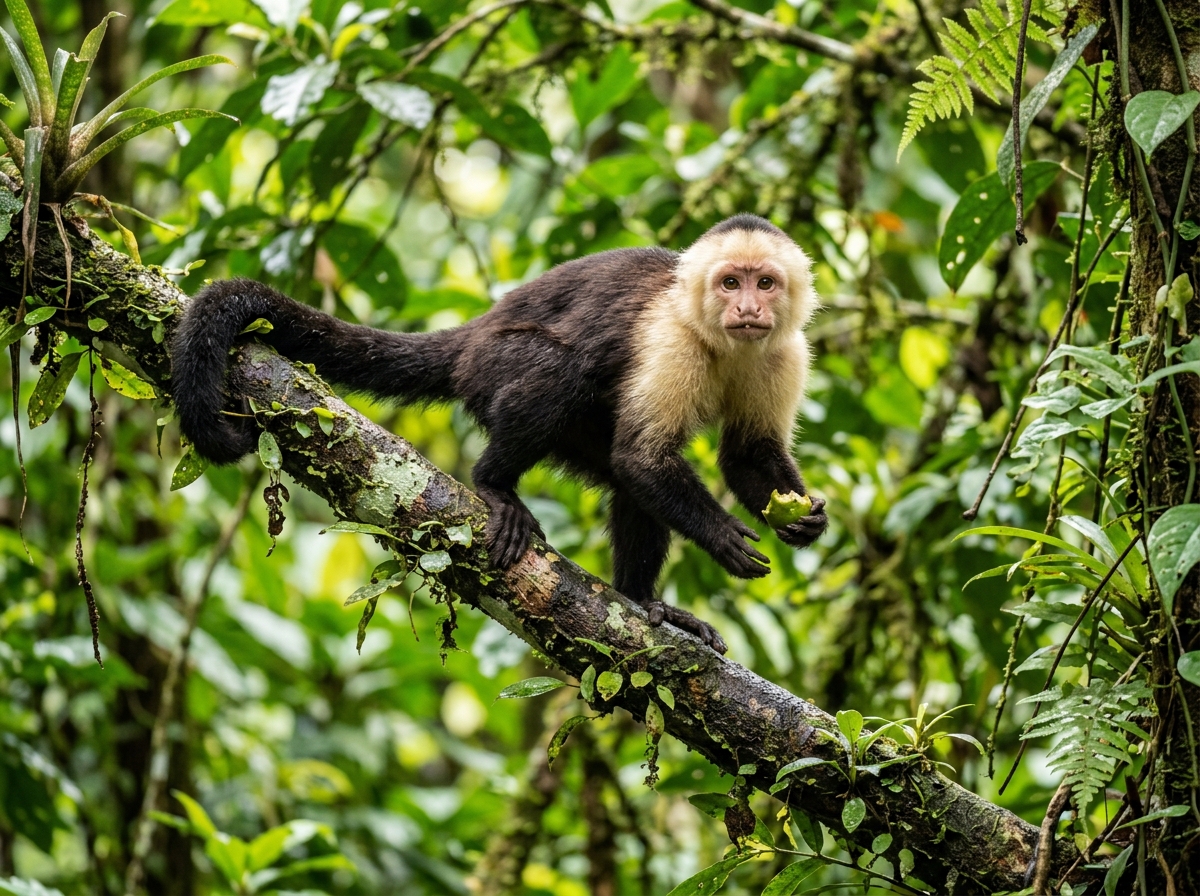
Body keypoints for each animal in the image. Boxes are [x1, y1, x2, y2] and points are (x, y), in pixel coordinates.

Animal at [170, 214, 827, 654]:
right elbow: (643, 455)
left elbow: (746, 455)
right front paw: (723, 537)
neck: (722, 340)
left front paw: (802, 519)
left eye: (765, 283)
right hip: (493, 365)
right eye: (729, 283)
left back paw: (643, 604)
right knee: (562, 373)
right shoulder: (670, 337)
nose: (748, 309)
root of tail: (475, 331)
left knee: (622, 478)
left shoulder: (787, 353)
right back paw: (494, 485)